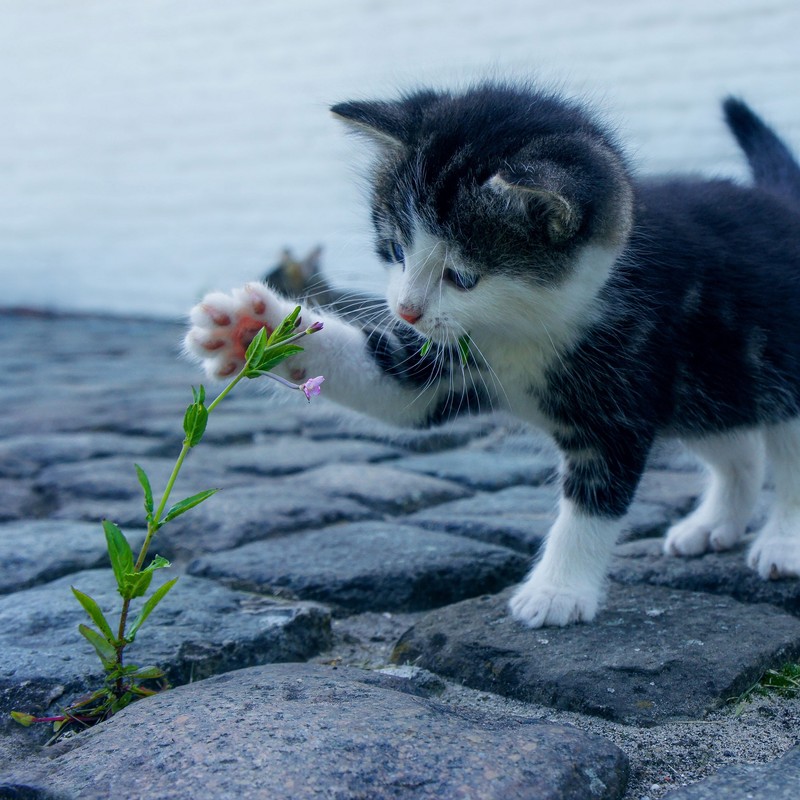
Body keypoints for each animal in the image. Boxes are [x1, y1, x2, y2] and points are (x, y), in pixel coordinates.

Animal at [184, 84, 800, 628]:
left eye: (462, 276)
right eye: (396, 249)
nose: (405, 310)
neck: (524, 328)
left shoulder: (623, 391)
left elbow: (593, 500)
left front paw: (557, 591)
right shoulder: (446, 362)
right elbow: (394, 389)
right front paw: (251, 329)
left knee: (786, 451)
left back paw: (782, 541)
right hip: (710, 384)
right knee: (739, 447)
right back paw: (715, 523)